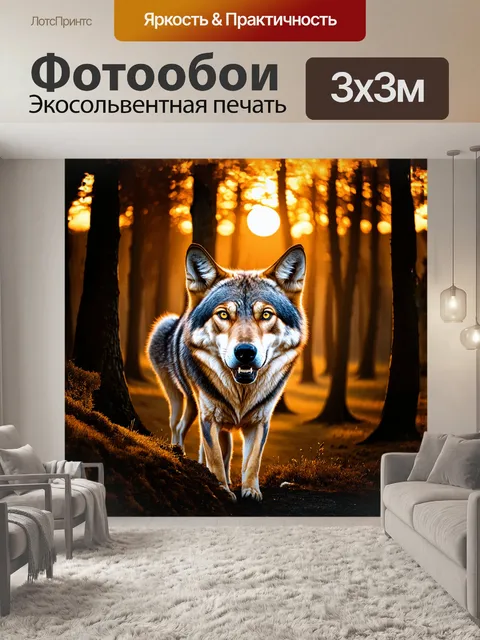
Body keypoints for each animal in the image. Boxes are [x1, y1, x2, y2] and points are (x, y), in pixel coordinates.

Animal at [147, 243, 307, 502]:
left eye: (266, 314)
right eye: (223, 314)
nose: (245, 352)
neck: (241, 393)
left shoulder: (261, 421)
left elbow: (252, 461)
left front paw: (250, 491)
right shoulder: (209, 418)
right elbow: (214, 458)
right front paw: (221, 489)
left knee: (225, 447)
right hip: (185, 401)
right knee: (178, 428)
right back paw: (180, 454)